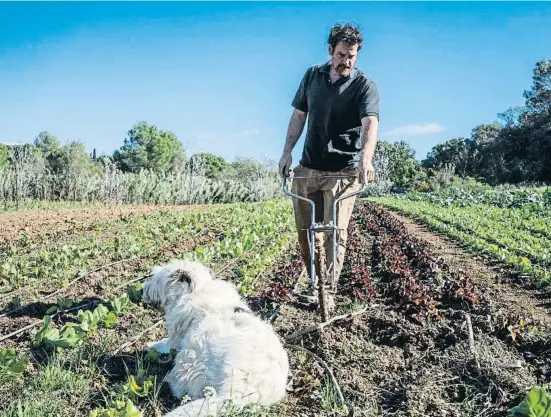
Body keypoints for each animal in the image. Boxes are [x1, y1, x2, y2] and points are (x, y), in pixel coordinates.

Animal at [140, 258, 292, 414]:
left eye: (155, 279)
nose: (141, 289)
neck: (197, 289)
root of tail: (236, 394)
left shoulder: (178, 335)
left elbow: (168, 343)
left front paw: (153, 345)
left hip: (192, 354)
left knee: (181, 386)